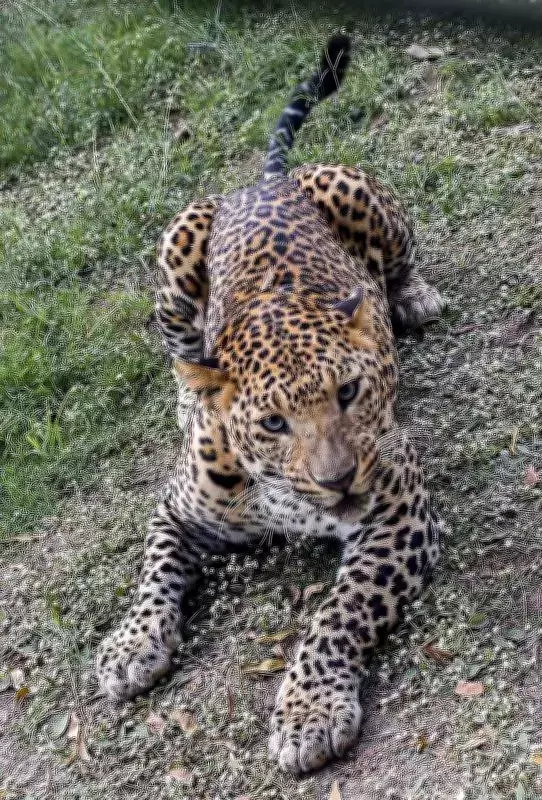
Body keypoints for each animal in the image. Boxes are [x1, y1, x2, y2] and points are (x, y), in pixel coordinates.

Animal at [96, 33, 445, 775]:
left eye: (350, 392)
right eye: (273, 423)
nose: (339, 481)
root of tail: (261, 181)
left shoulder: (399, 510)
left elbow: (339, 614)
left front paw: (309, 711)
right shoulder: (176, 508)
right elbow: (153, 573)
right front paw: (131, 645)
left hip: (357, 189)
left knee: (398, 260)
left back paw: (412, 296)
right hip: (177, 242)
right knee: (181, 347)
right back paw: (188, 384)